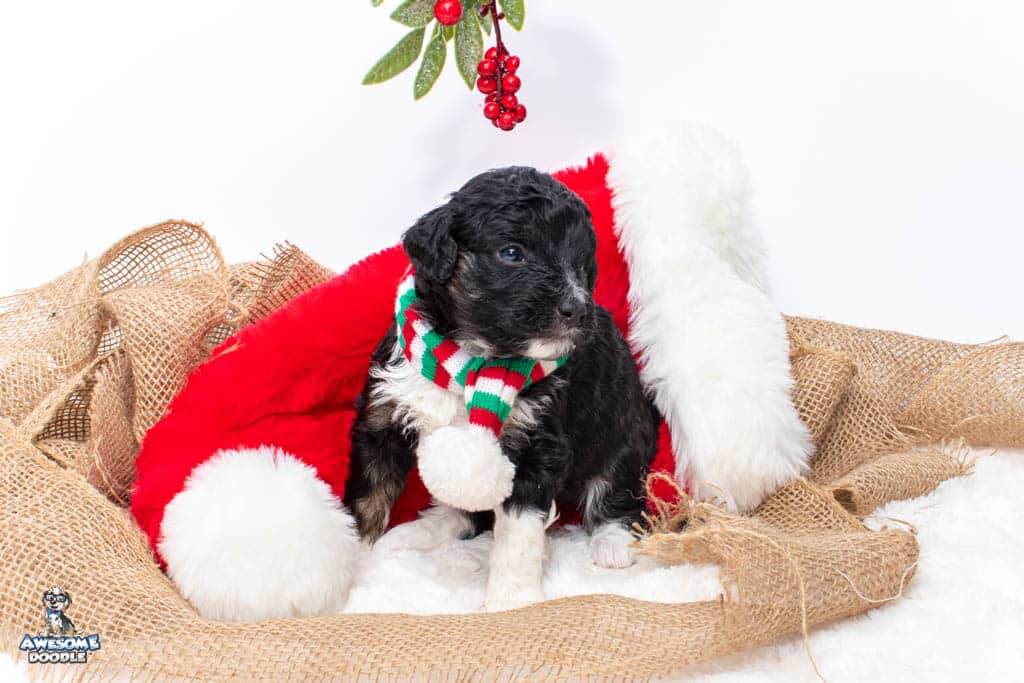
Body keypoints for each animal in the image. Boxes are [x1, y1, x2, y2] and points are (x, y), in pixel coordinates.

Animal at [344, 166, 660, 611]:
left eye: (582, 264)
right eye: (512, 253)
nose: (578, 309)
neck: (470, 360)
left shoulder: (536, 446)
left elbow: (517, 535)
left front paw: (510, 601)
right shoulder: (381, 421)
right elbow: (368, 497)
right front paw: (356, 561)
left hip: (624, 433)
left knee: (616, 490)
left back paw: (613, 544)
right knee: (464, 514)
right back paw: (420, 533)